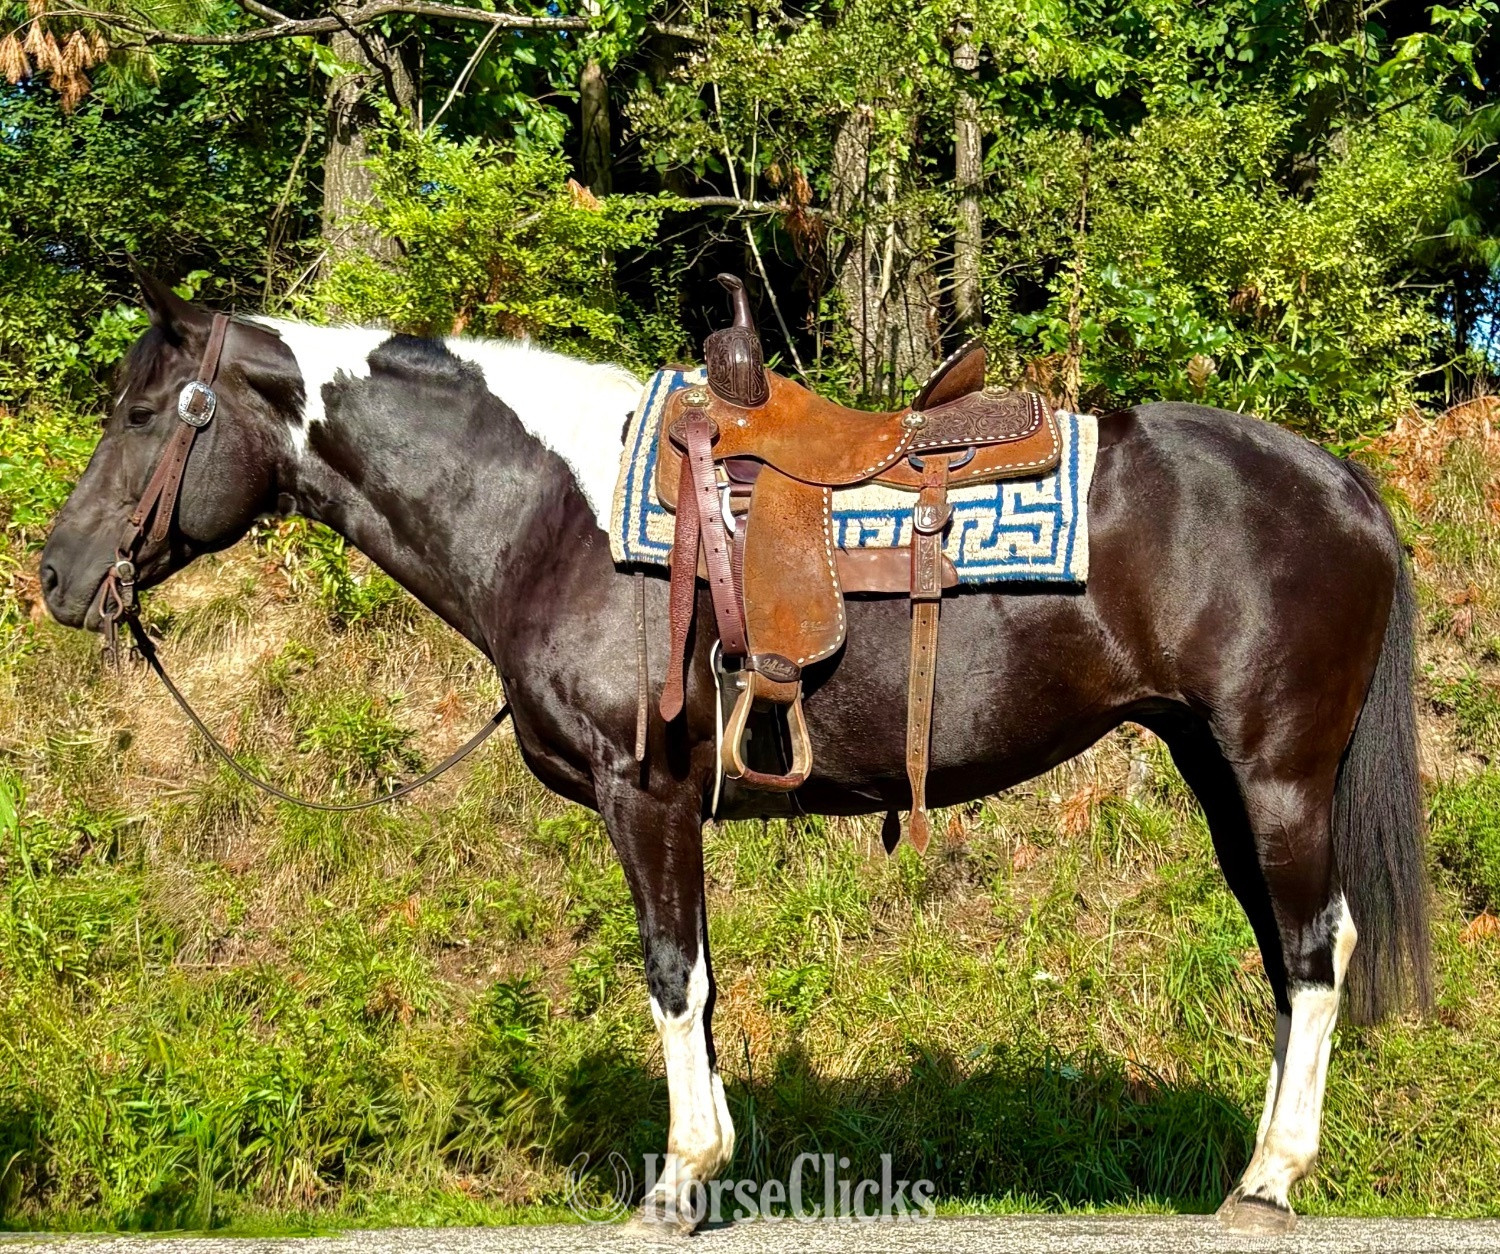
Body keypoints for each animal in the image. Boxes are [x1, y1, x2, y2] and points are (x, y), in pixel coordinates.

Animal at [39, 271, 1431, 1234]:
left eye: (143, 411)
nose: (54, 576)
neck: (557, 515)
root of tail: (1342, 482)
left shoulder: (640, 794)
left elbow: (671, 976)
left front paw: (678, 1182)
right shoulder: (670, 810)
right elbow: (701, 984)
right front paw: (706, 1170)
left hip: (1276, 774)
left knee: (1318, 951)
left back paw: (1271, 1180)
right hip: (1219, 770)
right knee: (1286, 955)